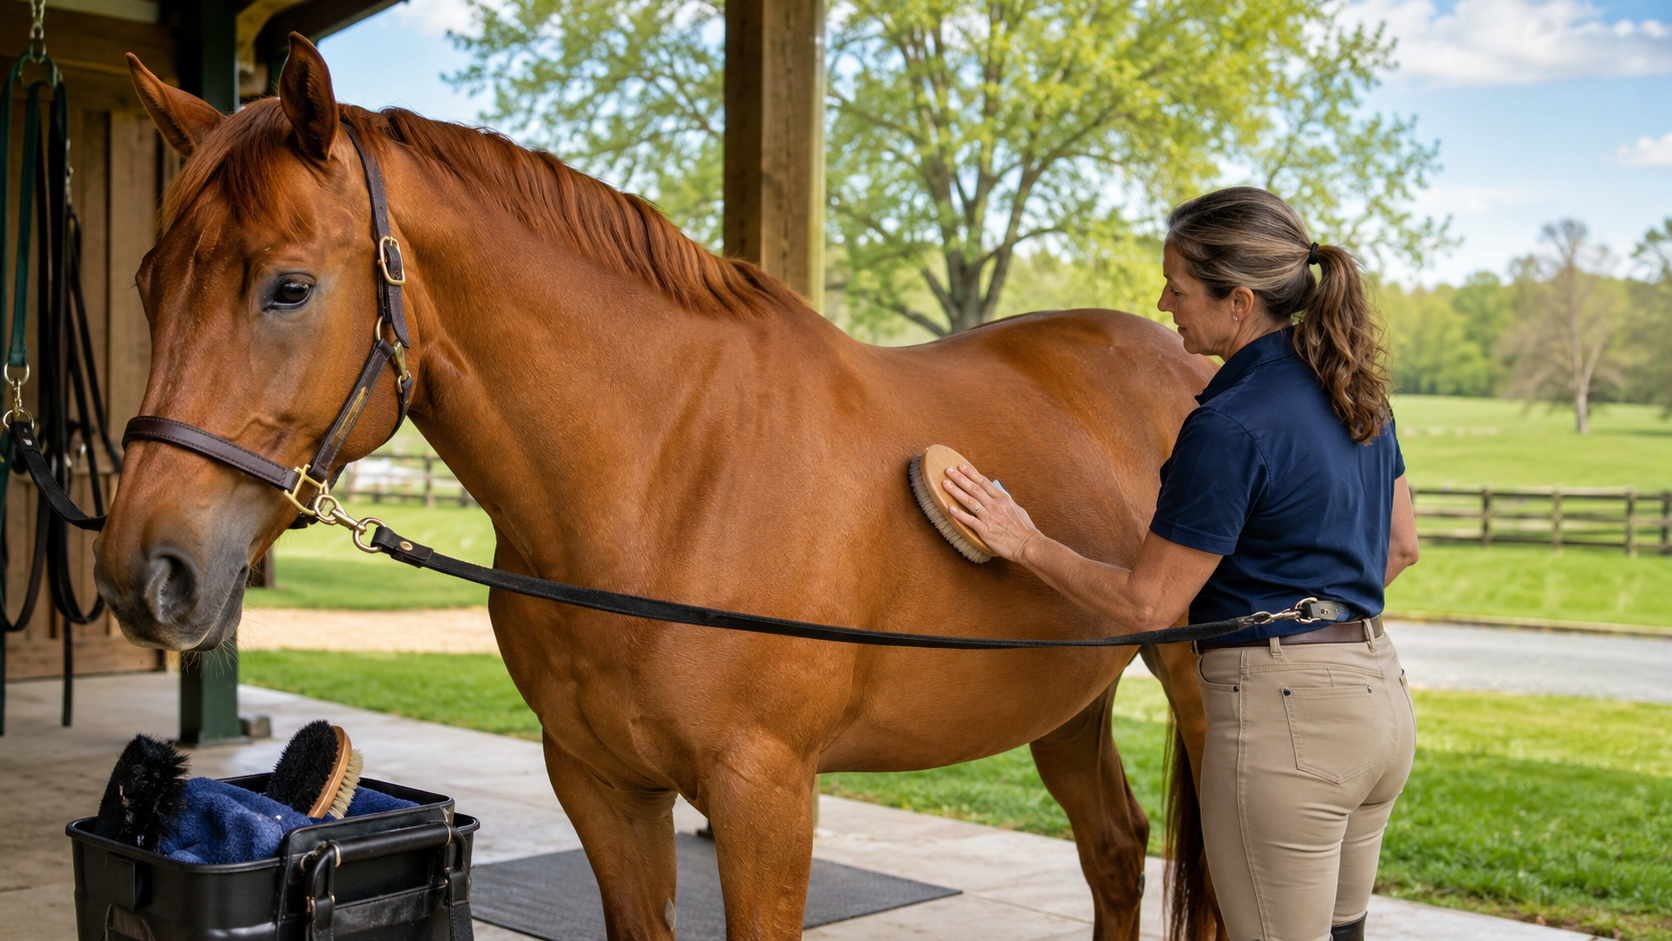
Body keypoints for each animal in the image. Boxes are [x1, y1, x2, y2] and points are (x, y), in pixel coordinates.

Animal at [97, 36, 1220, 941]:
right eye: (147, 282)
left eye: (288, 287)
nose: (141, 572)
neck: (668, 477)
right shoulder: (601, 785)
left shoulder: (766, 796)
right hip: (1066, 698)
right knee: (1115, 847)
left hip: (1200, 686)